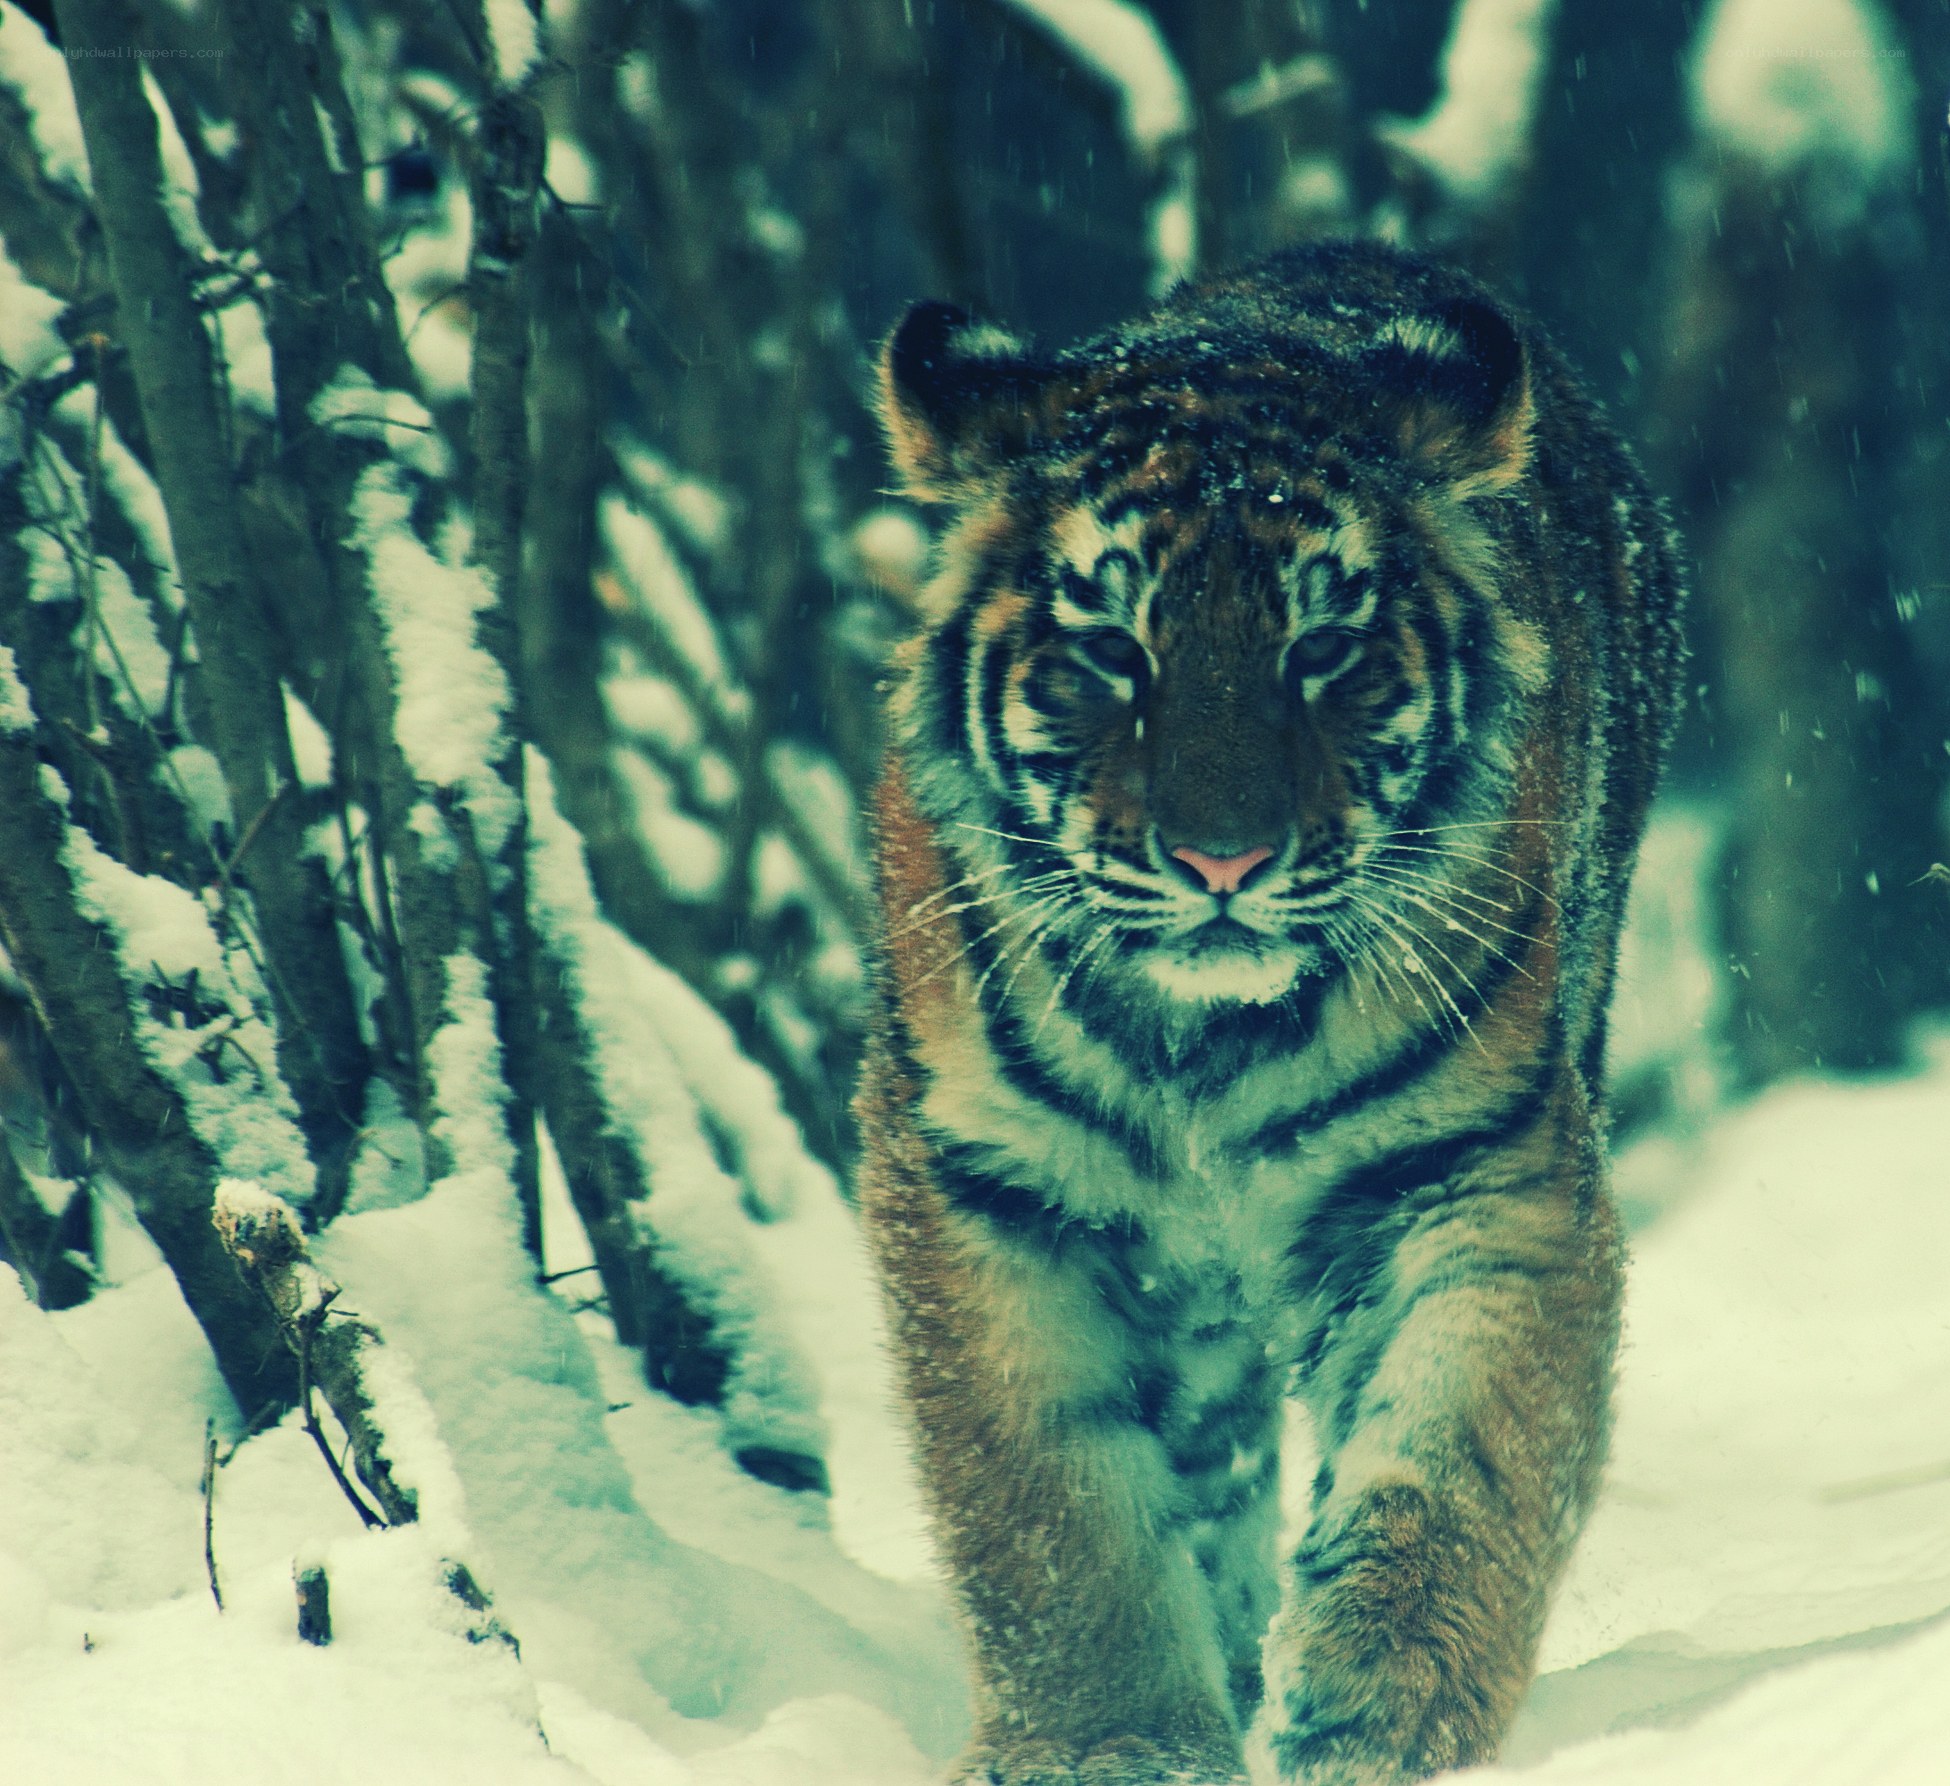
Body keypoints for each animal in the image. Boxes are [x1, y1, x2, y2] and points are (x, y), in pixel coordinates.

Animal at [855, 239, 1685, 1785]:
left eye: (1325, 648)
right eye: (1112, 649)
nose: (1222, 861)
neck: (1206, 1040)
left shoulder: (1474, 1172)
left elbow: (1456, 1455)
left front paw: (1375, 1707)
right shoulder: (992, 1187)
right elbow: (1051, 1511)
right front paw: (1108, 1744)